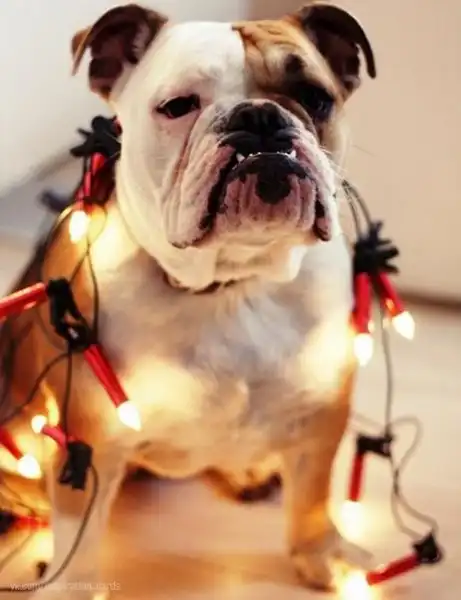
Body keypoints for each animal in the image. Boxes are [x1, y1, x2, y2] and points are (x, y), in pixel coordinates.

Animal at [1, 2, 377, 598]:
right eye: (178, 106)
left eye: (315, 97)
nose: (260, 119)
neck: (233, 282)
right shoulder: (90, 437)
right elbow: (78, 534)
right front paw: (76, 587)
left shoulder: (322, 411)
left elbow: (314, 493)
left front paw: (322, 554)